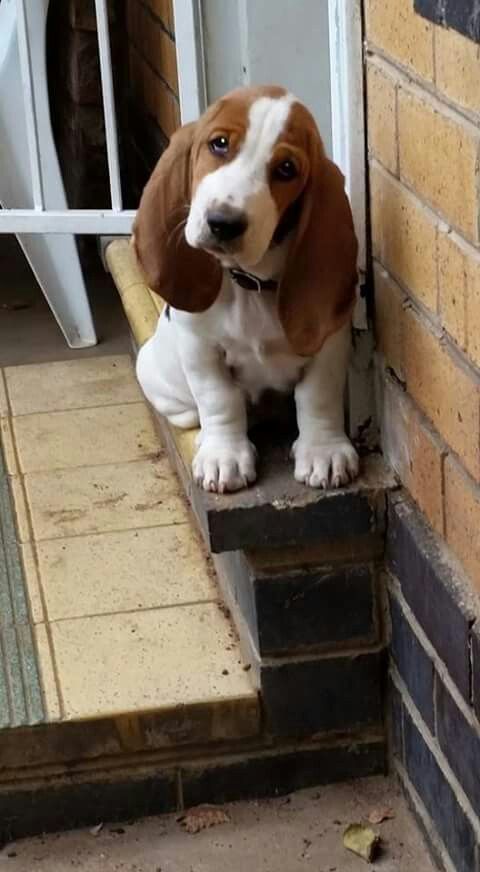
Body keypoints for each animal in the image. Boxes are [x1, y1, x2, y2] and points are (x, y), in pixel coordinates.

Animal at [133, 87, 358, 498]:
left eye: (286, 169)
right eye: (219, 144)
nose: (223, 223)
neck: (251, 284)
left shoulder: (329, 344)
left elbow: (318, 396)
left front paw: (324, 451)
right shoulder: (200, 348)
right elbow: (220, 400)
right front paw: (224, 456)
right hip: (154, 372)